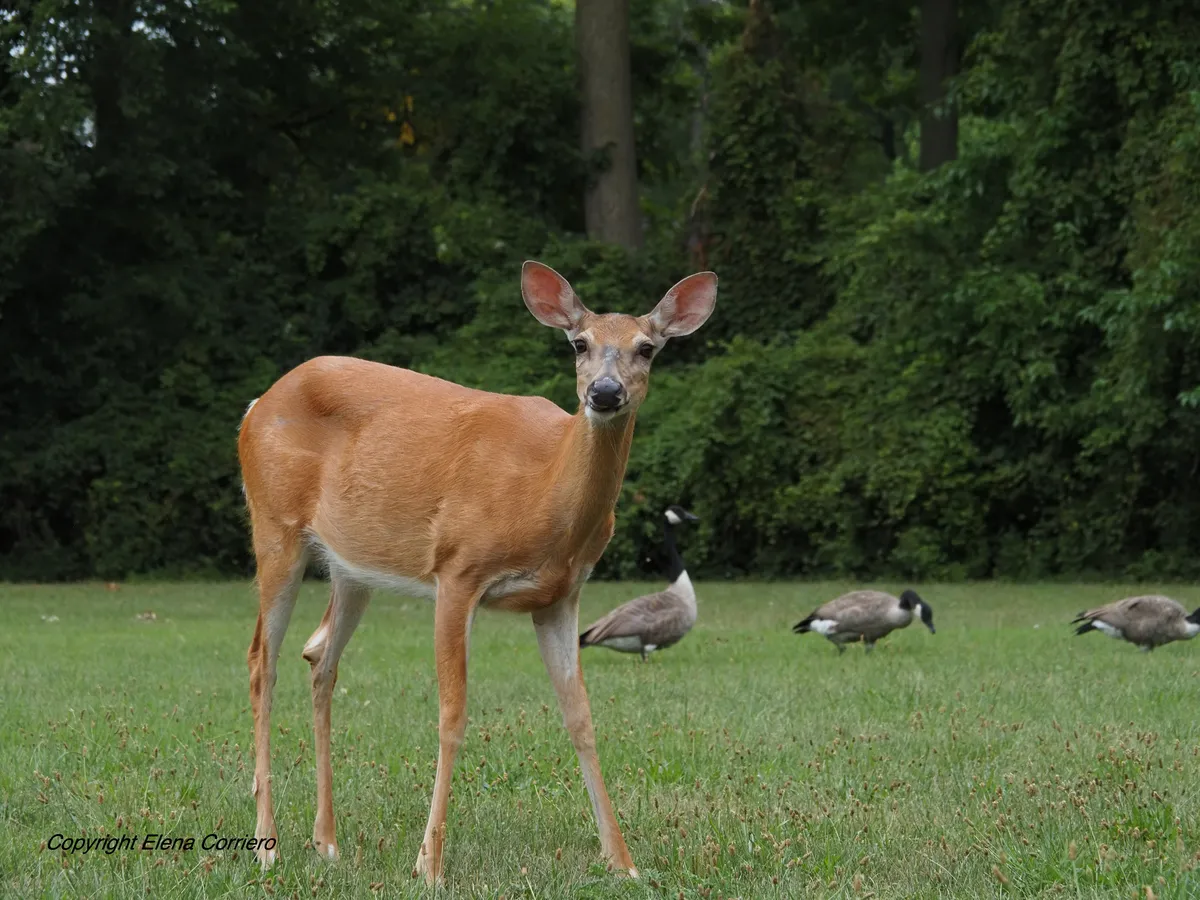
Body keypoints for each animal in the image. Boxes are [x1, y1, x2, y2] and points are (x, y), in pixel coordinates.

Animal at [238, 260, 717, 884]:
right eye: (579, 343)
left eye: (648, 348)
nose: (605, 392)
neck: (543, 491)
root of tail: (255, 405)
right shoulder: (457, 570)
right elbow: (452, 714)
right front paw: (429, 863)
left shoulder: (561, 596)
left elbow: (581, 718)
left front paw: (624, 862)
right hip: (275, 528)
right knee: (261, 661)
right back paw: (267, 844)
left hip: (353, 566)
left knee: (319, 656)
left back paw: (327, 842)